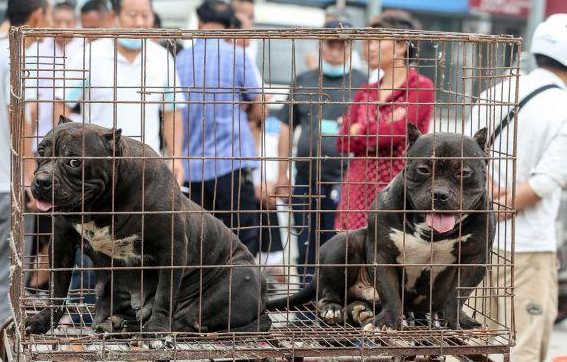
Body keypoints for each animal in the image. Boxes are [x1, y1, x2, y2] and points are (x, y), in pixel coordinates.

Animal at [23, 119, 268, 336]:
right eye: (41, 151)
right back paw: (119, 324)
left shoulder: (172, 249)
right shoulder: (61, 243)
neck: (104, 205)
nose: (42, 181)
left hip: (236, 279)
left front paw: (157, 329)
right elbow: (57, 288)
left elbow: (164, 294)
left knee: (186, 320)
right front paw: (42, 321)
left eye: (74, 162)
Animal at [268, 124, 494, 330]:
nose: (439, 194)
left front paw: (459, 321)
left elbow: (457, 294)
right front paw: (386, 322)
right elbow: (390, 292)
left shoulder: (474, 260)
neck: (431, 233)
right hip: (343, 245)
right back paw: (333, 309)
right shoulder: (382, 253)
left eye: (463, 172)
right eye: (423, 169)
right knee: (328, 293)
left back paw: (360, 311)